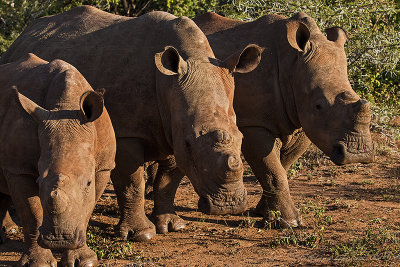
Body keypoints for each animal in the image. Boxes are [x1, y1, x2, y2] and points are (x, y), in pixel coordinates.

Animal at [0, 53, 115, 266]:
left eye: (88, 182)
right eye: (39, 181)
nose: (59, 240)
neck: (65, 108)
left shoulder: (104, 166)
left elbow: (87, 208)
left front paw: (83, 261)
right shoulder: (18, 168)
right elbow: (32, 214)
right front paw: (39, 263)